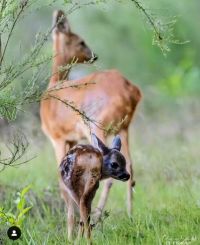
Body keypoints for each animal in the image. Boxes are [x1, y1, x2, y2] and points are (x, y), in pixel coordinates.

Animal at [39, 9, 141, 221]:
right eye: (81, 41)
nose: (93, 55)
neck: (53, 86)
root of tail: (130, 90)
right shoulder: (72, 140)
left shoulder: (57, 138)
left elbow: (62, 182)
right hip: (124, 128)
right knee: (130, 167)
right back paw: (129, 215)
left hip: (98, 126)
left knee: (109, 172)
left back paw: (96, 217)